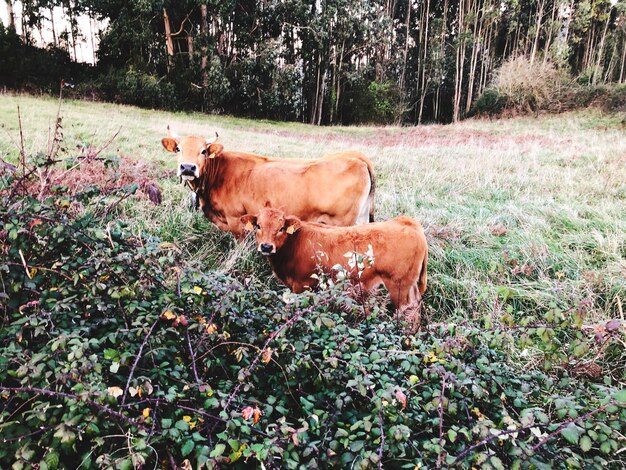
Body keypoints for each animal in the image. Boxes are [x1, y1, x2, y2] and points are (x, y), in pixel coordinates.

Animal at [162, 129, 376, 237]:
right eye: (179, 149)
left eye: (204, 151)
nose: (188, 168)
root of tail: (354, 158)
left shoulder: (236, 221)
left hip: (343, 224)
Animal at [239, 207, 424, 322]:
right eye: (258, 226)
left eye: (281, 228)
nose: (266, 246)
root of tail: (406, 221)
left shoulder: (302, 285)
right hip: (410, 286)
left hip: (399, 286)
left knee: (407, 311)